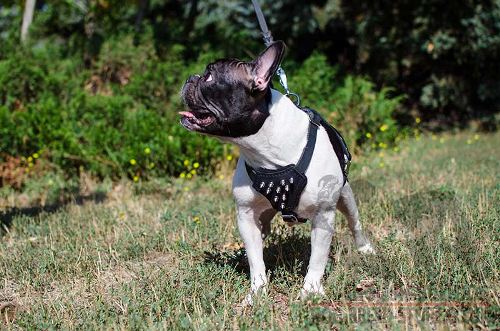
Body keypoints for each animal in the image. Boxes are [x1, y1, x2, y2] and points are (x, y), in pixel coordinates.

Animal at [182, 41, 374, 304]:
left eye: (209, 76)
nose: (190, 77)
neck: (267, 154)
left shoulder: (324, 216)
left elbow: (317, 259)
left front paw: (311, 290)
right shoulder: (246, 215)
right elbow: (256, 260)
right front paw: (257, 291)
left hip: (346, 197)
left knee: (355, 223)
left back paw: (365, 249)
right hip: (262, 217)